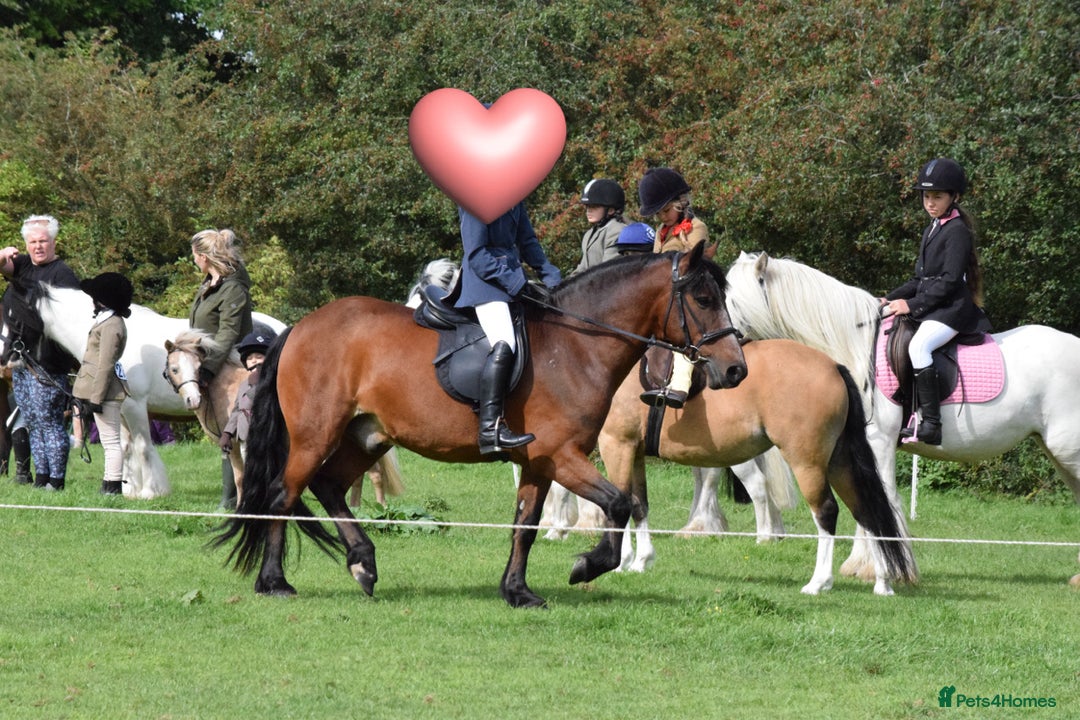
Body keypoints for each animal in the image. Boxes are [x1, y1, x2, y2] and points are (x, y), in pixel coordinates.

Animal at [30, 281, 285, 499]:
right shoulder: (119, 408)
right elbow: (125, 448)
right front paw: (128, 490)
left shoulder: (135, 406)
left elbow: (143, 447)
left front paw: (148, 492)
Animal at [215, 244, 750, 608]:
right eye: (703, 298)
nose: (735, 371)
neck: (575, 346)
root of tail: (301, 328)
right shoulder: (562, 455)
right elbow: (619, 503)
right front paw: (586, 566)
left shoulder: (538, 461)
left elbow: (525, 526)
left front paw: (517, 592)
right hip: (314, 436)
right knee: (282, 497)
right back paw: (275, 583)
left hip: (367, 437)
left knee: (327, 486)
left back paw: (363, 564)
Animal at [599, 339, 917, 595]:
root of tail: (833, 366)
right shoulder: (634, 452)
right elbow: (638, 505)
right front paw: (640, 561)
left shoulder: (615, 445)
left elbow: (620, 504)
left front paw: (621, 562)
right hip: (839, 462)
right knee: (865, 511)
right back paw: (882, 582)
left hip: (808, 463)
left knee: (827, 512)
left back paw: (819, 582)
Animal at [725, 251, 1080, 583]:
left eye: (732, 300)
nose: (728, 360)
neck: (853, 347)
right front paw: (868, 566)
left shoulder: (877, 442)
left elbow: (879, 498)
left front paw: (880, 568)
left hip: (1067, 449)